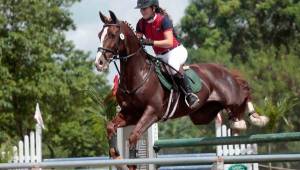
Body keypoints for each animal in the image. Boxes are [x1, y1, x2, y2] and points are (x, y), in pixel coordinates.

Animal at [94, 10, 268, 169]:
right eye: (99, 35)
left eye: (112, 34)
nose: (99, 63)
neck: (138, 74)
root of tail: (223, 70)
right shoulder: (130, 113)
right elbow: (110, 126)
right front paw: (116, 156)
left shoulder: (152, 112)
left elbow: (133, 136)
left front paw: (130, 164)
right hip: (201, 115)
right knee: (227, 107)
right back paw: (235, 120)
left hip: (232, 96)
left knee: (244, 91)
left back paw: (252, 119)